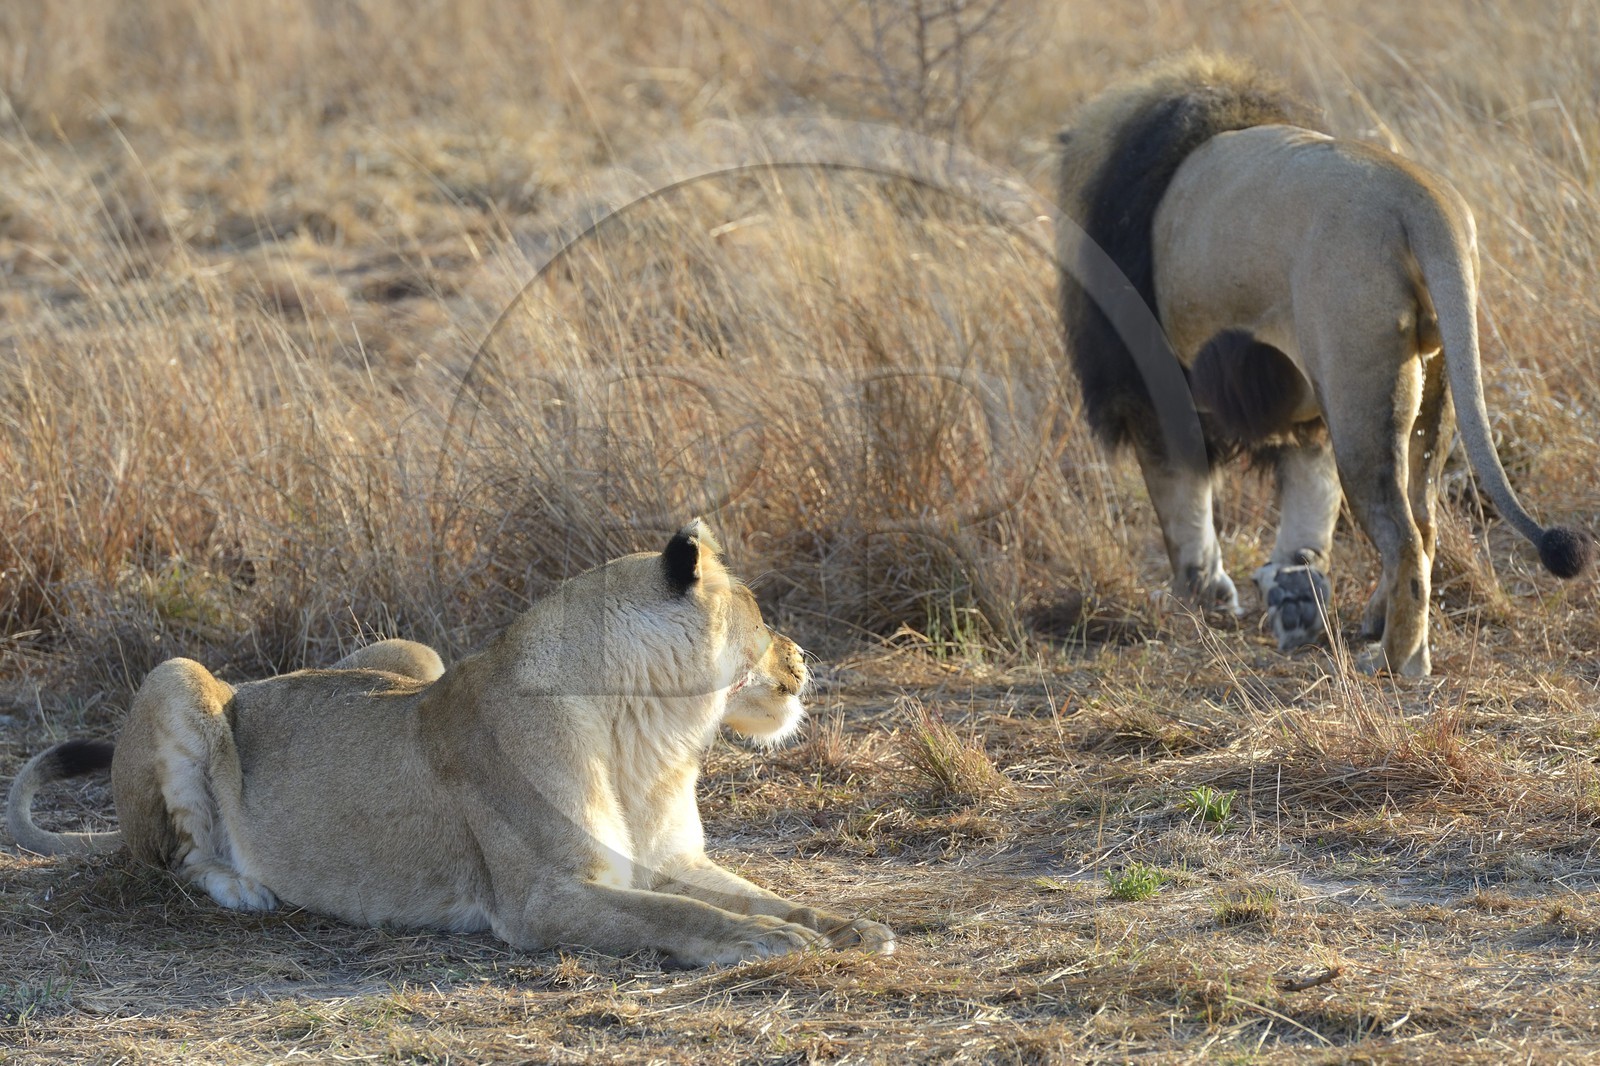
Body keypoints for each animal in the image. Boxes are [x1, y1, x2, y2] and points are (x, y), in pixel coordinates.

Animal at [6, 521, 893, 967]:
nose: (804, 656)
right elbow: (676, 913)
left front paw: (846, 925)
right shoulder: (542, 898)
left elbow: (754, 891)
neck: (651, 737)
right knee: (177, 860)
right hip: (176, 675)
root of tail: (256, 682)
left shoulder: (672, 859)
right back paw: (247, 888)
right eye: (762, 615)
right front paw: (771, 943)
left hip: (408, 651)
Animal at [1057, 54, 1591, 676]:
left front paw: (1204, 594)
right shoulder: (1305, 407)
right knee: (1425, 521)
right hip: (1434, 386)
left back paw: (1396, 661)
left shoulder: (1152, 388)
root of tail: (1420, 196)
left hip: (1357, 386)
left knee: (1402, 536)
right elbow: (1309, 498)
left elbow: (1181, 502)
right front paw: (1294, 588)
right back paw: (1378, 626)